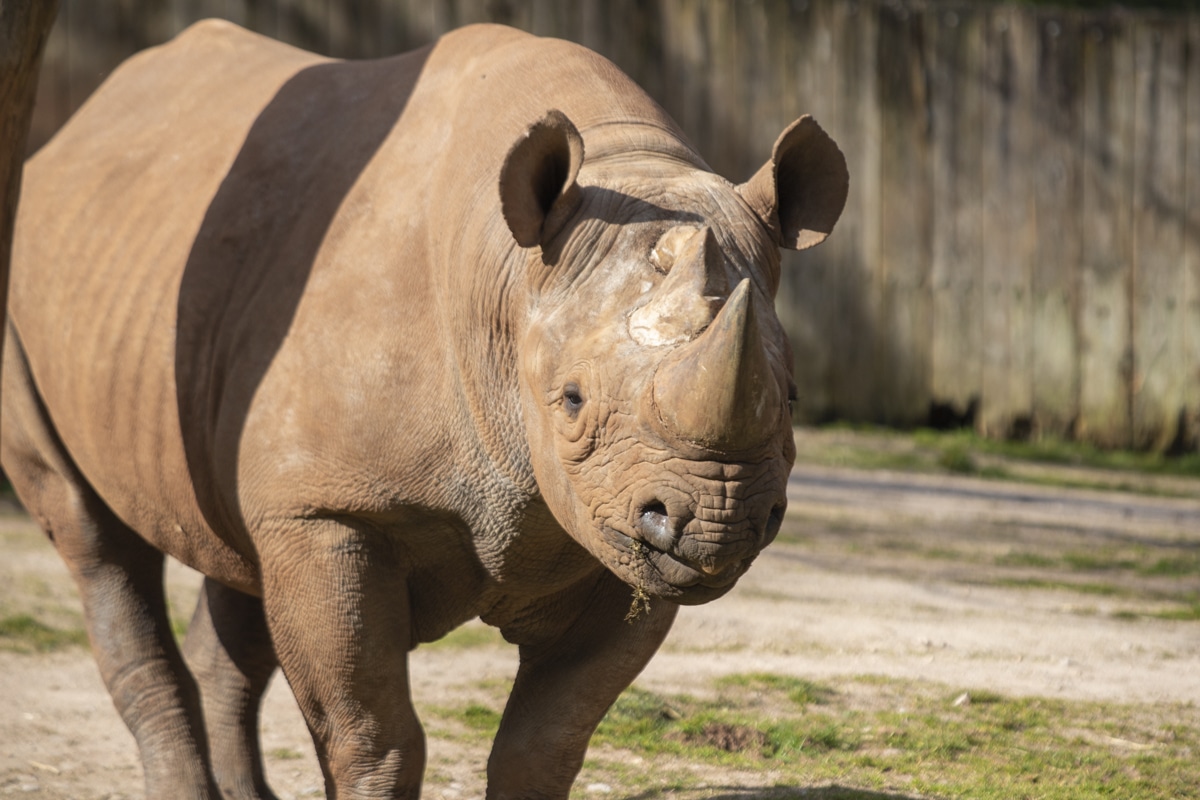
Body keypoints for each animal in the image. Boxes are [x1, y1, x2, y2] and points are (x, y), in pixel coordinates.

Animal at [2, 19, 847, 800]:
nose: (718, 523)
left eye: (792, 398)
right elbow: (374, 736)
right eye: (571, 400)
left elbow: (547, 742)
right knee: (94, 538)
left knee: (235, 558)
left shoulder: (614, 535)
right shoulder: (331, 508)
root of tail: (77, 130)